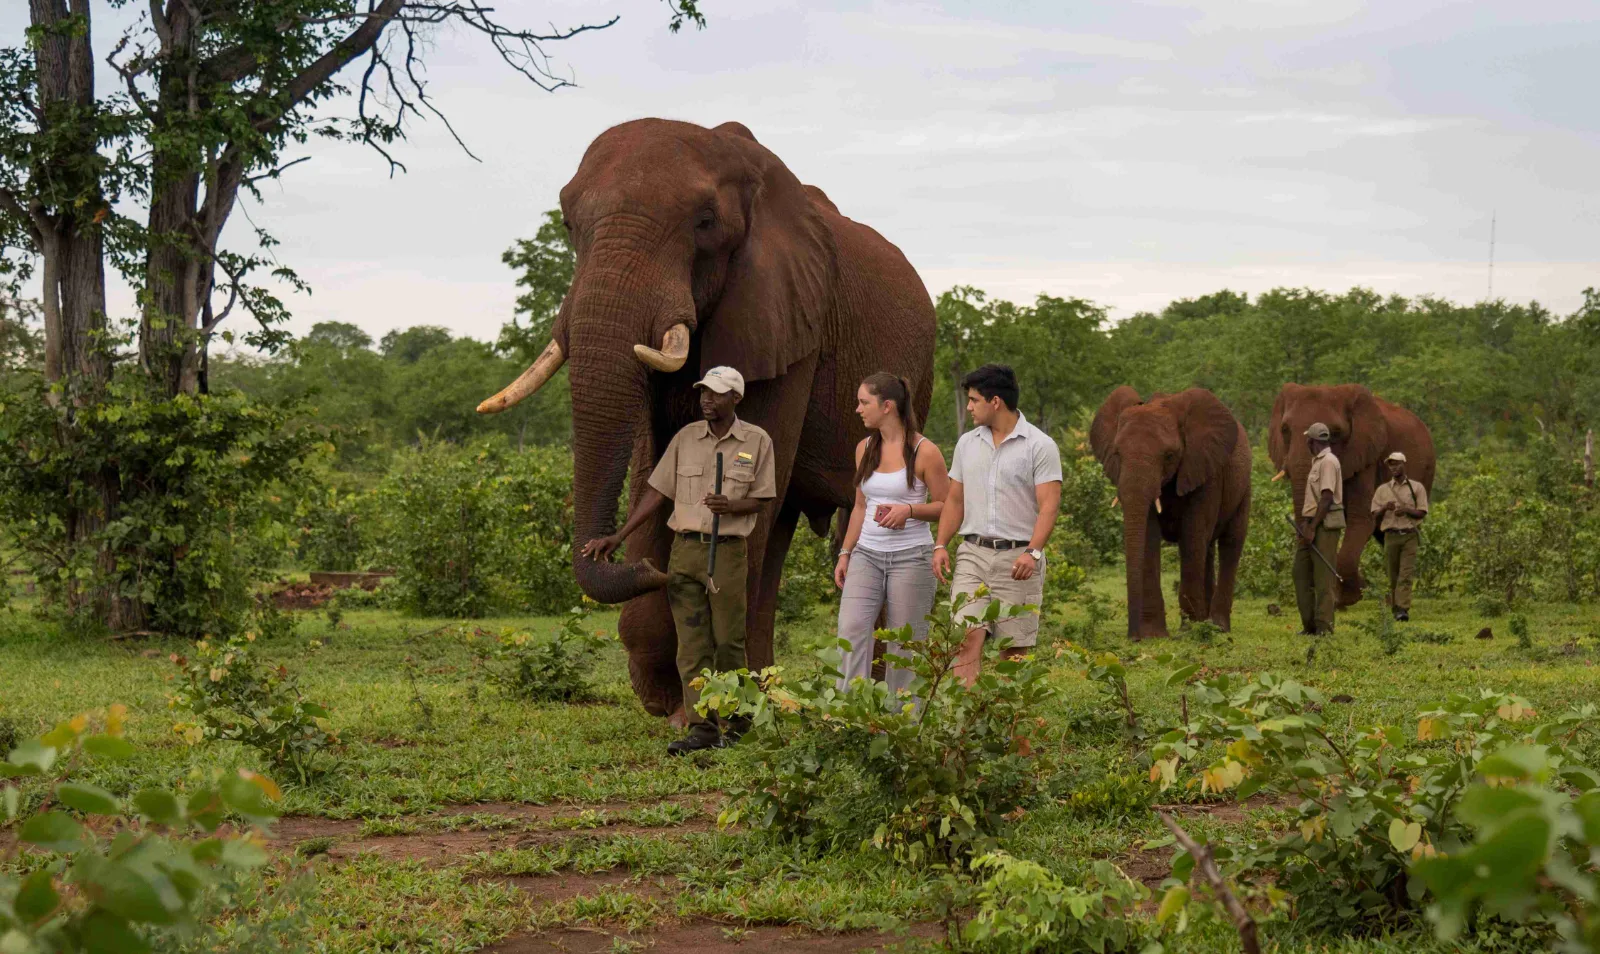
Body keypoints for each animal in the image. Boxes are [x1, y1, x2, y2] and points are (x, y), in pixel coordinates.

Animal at [477, 119, 936, 719]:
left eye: (705, 223)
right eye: (568, 223)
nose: (628, 562)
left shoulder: (788, 320)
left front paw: (706, 705)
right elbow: (656, 465)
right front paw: (673, 698)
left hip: (918, 382)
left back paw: (871, 702)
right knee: (780, 525)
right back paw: (767, 688)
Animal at [1090, 387, 1251, 641]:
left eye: (1169, 456)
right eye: (1116, 454)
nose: (1132, 636)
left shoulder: (1206, 469)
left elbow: (1192, 534)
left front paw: (1189, 632)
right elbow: (1149, 536)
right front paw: (1153, 635)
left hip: (1244, 486)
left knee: (1230, 543)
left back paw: (1217, 627)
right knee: (1207, 548)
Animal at [1267, 383, 1436, 607]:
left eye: (1336, 432)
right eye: (1285, 429)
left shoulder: (1366, 456)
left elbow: (1362, 518)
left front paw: (1349, 597)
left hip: (1426, 470)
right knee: (1384, 537)